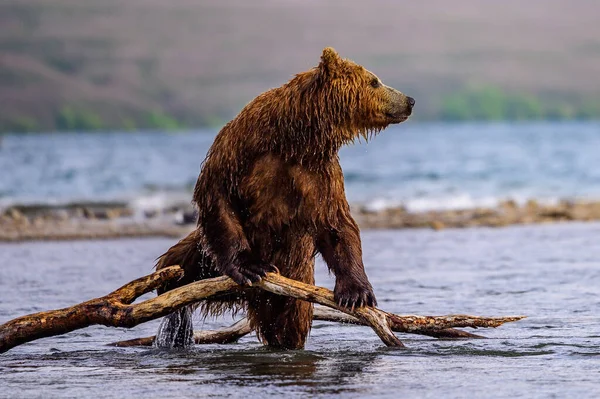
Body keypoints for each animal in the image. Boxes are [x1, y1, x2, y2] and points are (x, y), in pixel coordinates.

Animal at [155, 47, 414, 350]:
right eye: (374, 81)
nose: (409, 100)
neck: (295, 138)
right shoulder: (241, 147)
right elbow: (218, 195)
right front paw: (250, 266)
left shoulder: (320, 174)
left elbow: (336, 224)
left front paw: (357, 292)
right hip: (205, 257)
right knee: (180, 261)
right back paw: (172, 290)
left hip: (294, 273)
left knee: (288, 319)